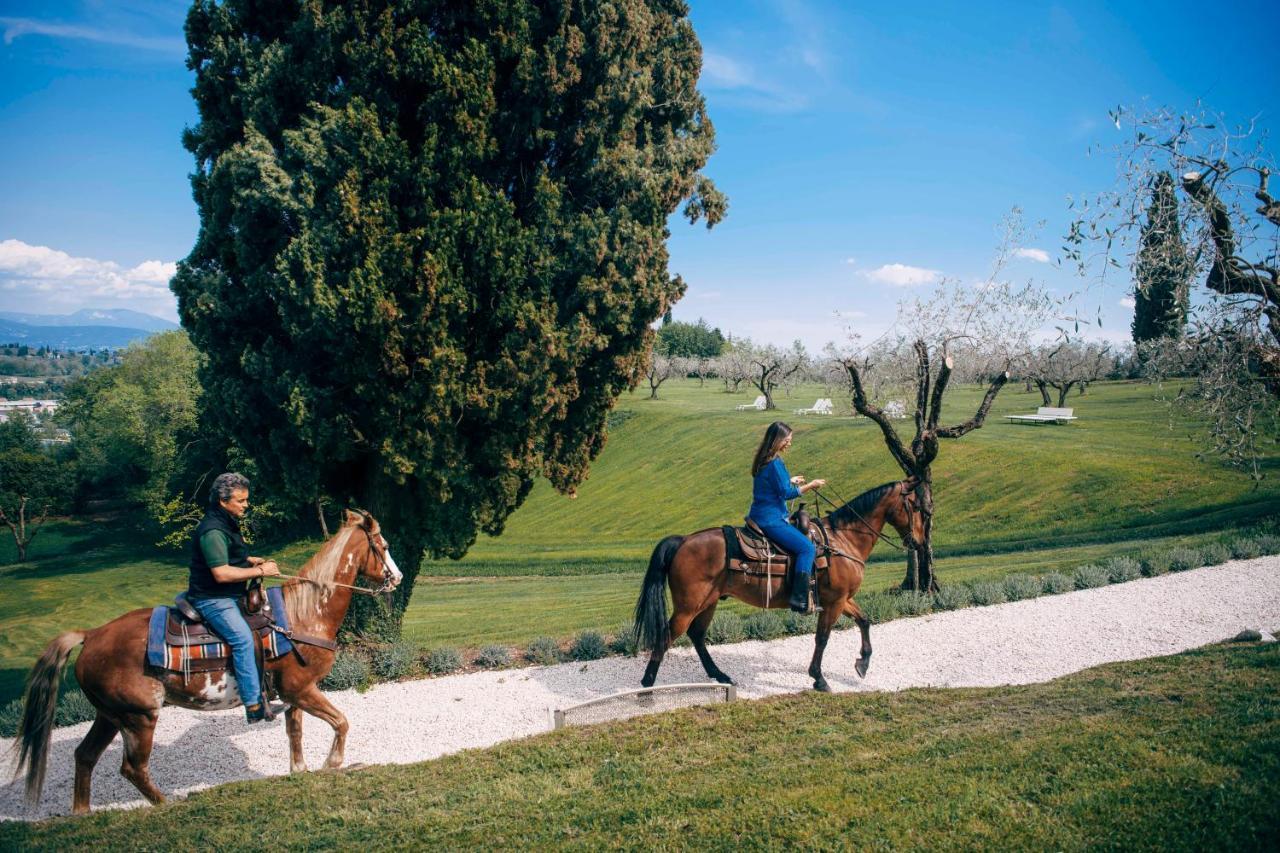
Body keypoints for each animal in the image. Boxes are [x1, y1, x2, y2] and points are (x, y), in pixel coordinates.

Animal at [11, 504, 399, 809]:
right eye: (383, 545)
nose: (397, 577)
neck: (302, 615)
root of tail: (91, 635)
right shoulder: (300, 689)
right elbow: (340, 722)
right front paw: (333, 763)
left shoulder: (294, 693)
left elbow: (295, 732)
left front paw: (300, 770)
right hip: (139, 717)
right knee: (132, 768)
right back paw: (167, 803)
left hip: (110, 714)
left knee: (85, 756)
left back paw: (82, 813)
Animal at [632, 479, 921, 691]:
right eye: (916, 506)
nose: (917, 542)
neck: (843, 539)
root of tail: (682, 540)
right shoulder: (834, 603)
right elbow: (822, 638)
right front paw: (819, 678)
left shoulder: (841, 599)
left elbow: (864, 620)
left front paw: (862, 663)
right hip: (688, 606)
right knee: (667, 636)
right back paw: (647, 684)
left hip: (708, 602)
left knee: (697, 635)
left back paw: (720, 675)